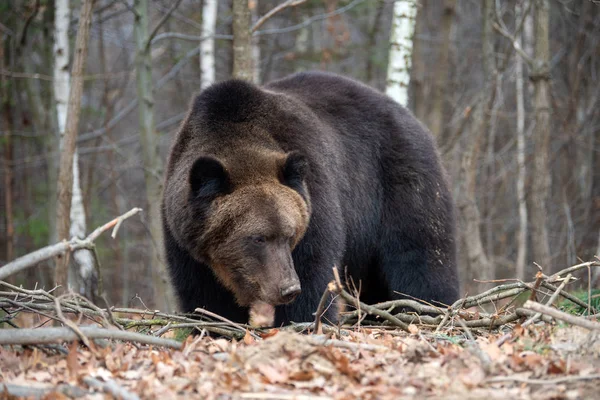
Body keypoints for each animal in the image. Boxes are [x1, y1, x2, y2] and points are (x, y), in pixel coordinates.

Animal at [161, 70, 460, 326]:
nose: (288, 288)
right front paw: (213, 323)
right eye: (257, 238)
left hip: (398, 181)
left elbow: (313, 270)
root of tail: (410, 116)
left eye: (289, 233)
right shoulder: (186, 237)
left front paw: (302, 321)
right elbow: (203, 294)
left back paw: (430, 310)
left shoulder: (315, 197)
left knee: (420, 256)